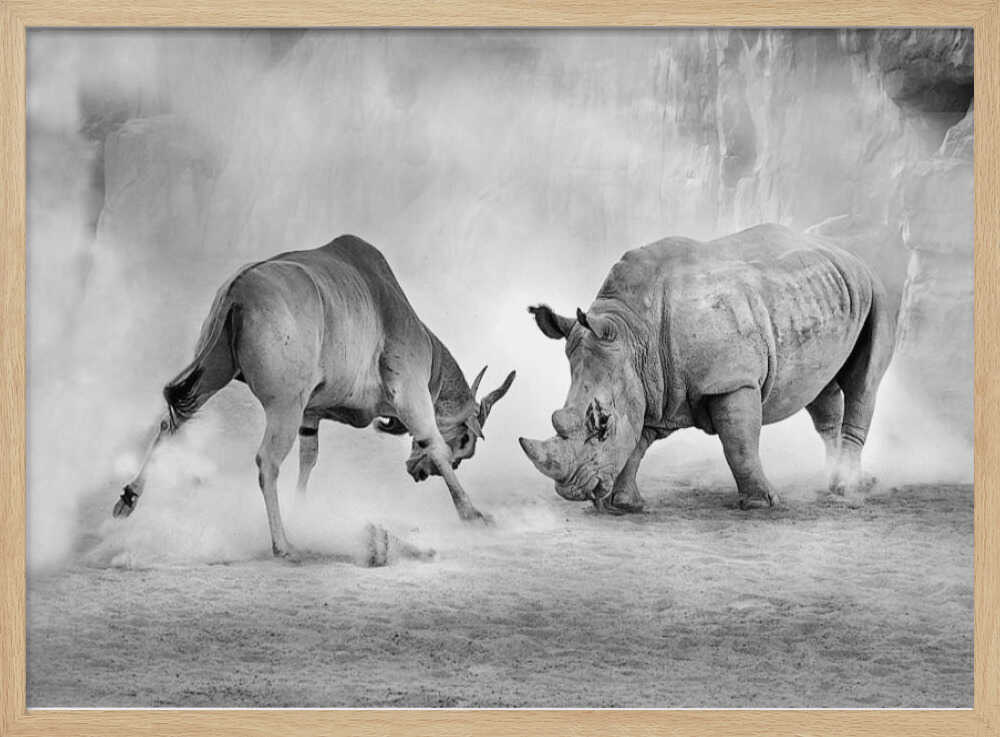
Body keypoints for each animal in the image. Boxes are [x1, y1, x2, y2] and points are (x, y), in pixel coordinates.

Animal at [115, 235, 515, 560]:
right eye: (464, 442)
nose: (418, 473)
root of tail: (237, 291)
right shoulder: (410, 397)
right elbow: (435, 444)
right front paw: (473, 514)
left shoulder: (310, 415)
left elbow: (309, 460)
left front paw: (301, 511)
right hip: (283, 406)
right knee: (266, 462)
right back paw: (283, 545)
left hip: (212, 379)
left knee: (171, 425)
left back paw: (129, 497)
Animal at [519, 224, 894, 512]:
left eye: (602, 424)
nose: (571, 492)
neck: (634, 333)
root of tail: (847, 253)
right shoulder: (652, 386)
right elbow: (636, 443)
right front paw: (624, 505)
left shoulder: (731, 380)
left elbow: (739, 445)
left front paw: (761, 505)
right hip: (823, 293)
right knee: (821, 388)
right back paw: (837, 479)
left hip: (876, 292)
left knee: (863, 383)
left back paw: (846, 487)